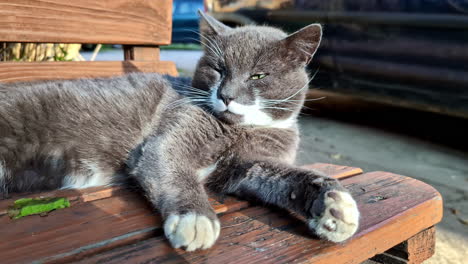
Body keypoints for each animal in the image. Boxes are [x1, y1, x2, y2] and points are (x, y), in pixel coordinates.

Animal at [0, 12, 358, 252]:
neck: (241, 130)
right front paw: (195, 219)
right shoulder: (170, 135)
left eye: (258, 76)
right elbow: (173, 167)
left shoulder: (246, 167)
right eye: (218, 69)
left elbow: (283, 176)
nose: (226, 95)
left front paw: (334, 205)